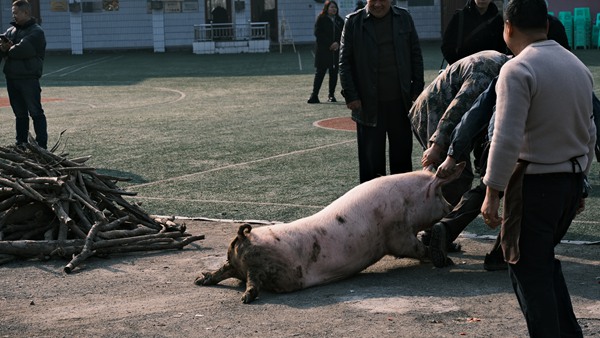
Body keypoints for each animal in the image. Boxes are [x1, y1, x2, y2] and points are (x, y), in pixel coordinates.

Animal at [195, 162, 466, 302]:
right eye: (440, 192)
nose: (450, 206)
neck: (408, 200)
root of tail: (244, 238)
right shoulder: (396, 232)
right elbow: (413, 247)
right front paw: (445, 260)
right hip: (268, 268)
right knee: (253, 279)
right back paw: (246, 299)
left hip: (240, 264)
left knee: (225, 270)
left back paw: (201, 279)